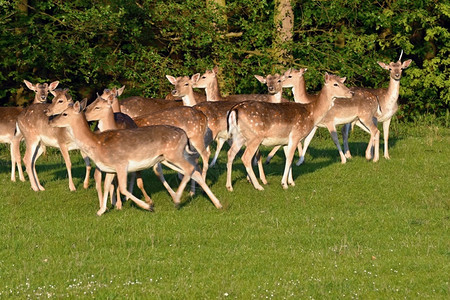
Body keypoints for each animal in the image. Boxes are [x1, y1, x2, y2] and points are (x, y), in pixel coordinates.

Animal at [49, 100, 223, 216]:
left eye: (64, 113)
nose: (51, 121)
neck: (96, 143)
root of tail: (184, 135)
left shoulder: (121, 163)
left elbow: (123, 188)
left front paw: (148, 206)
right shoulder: (110, 168)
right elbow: (107, 186)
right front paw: (101, 210)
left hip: (173, 154)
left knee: (191, 168)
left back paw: (178, 199)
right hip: (175, 156)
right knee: (195, 171)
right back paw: (218, 203)